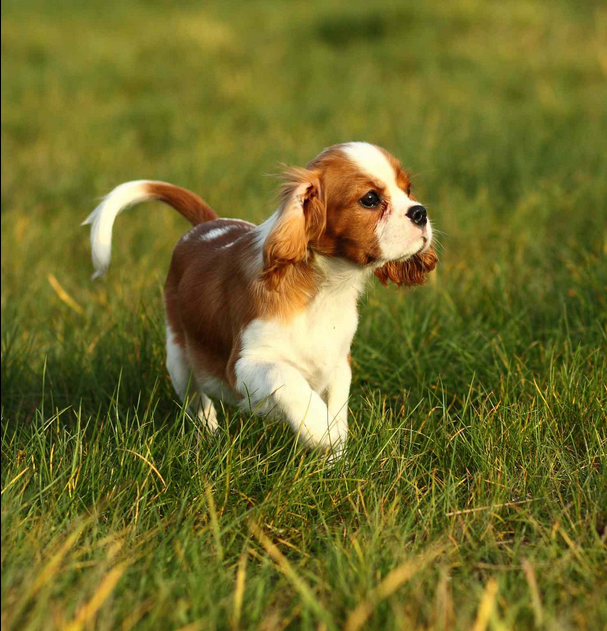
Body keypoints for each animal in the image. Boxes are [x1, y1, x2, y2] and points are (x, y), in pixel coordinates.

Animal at [85, 143, 436, 456]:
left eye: (408, 189)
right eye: (370, 199)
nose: (420, 212)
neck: (326, 288)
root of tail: (205, 225)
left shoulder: (338, 362)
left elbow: (338, 407)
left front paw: (335, 462)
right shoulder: (243, 366)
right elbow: (286, 377)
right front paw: (320, 430)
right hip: (179, 357)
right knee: (198, 399)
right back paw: (209, 435)